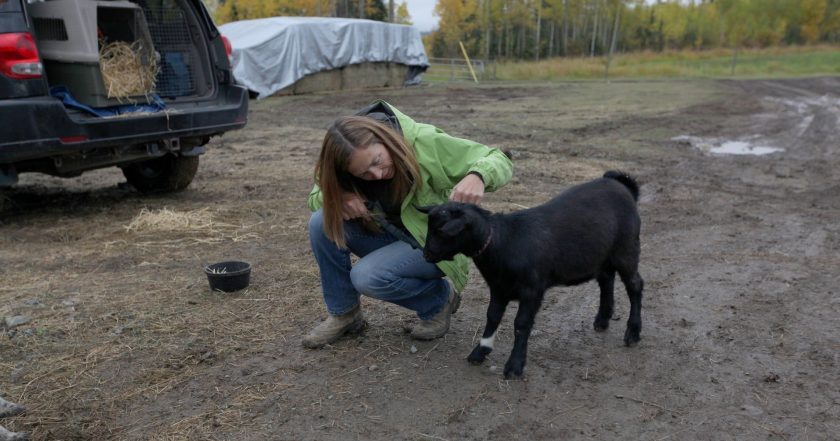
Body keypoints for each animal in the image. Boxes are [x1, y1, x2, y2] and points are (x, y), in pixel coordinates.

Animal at [420, 170, 644, 376]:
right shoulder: (499, 287)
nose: (426, 254)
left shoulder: (532, 290)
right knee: (606, 279)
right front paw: (480, 351)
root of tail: (621, 185)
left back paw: (632, 333)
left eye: (442, 231)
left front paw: (514, 365)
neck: (502, 241)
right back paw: (602, 321)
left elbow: (521, 324)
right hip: (603, 254)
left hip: (627, 248)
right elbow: (492, 316)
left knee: (635, 285)